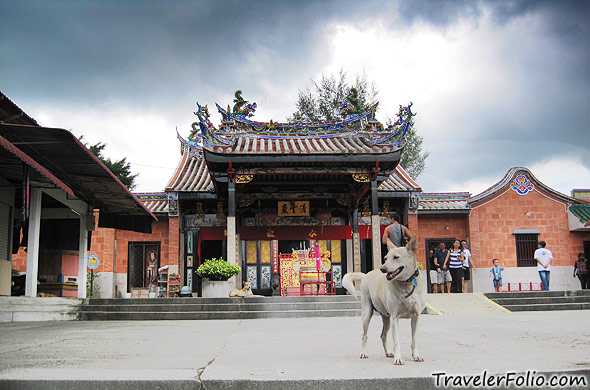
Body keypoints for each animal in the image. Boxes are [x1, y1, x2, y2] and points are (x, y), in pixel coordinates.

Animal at [344, 235, 428, 366]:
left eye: (396, 257)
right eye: (385, 258)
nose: (383, 269)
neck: (406, 284)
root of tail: (367, 274)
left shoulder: (416, 316)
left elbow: (414, 340)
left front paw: (416, 356)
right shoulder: (395, 317)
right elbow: (396, 340)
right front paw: (398, 358)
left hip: (386, 318)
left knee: (383, 335)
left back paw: (388, 352)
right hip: (367, 312)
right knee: (364, 335)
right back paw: (363, 353)